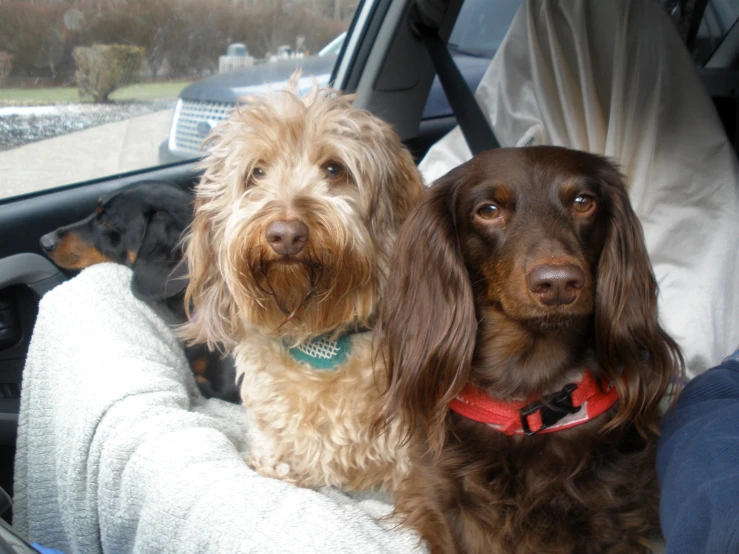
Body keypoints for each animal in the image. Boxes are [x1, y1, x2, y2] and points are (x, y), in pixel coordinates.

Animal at [384, 147, 684, 552]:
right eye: (488, 210)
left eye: (583, 202)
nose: (557, 283)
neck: (532, 396)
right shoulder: (448, 500)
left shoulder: (615, 511)